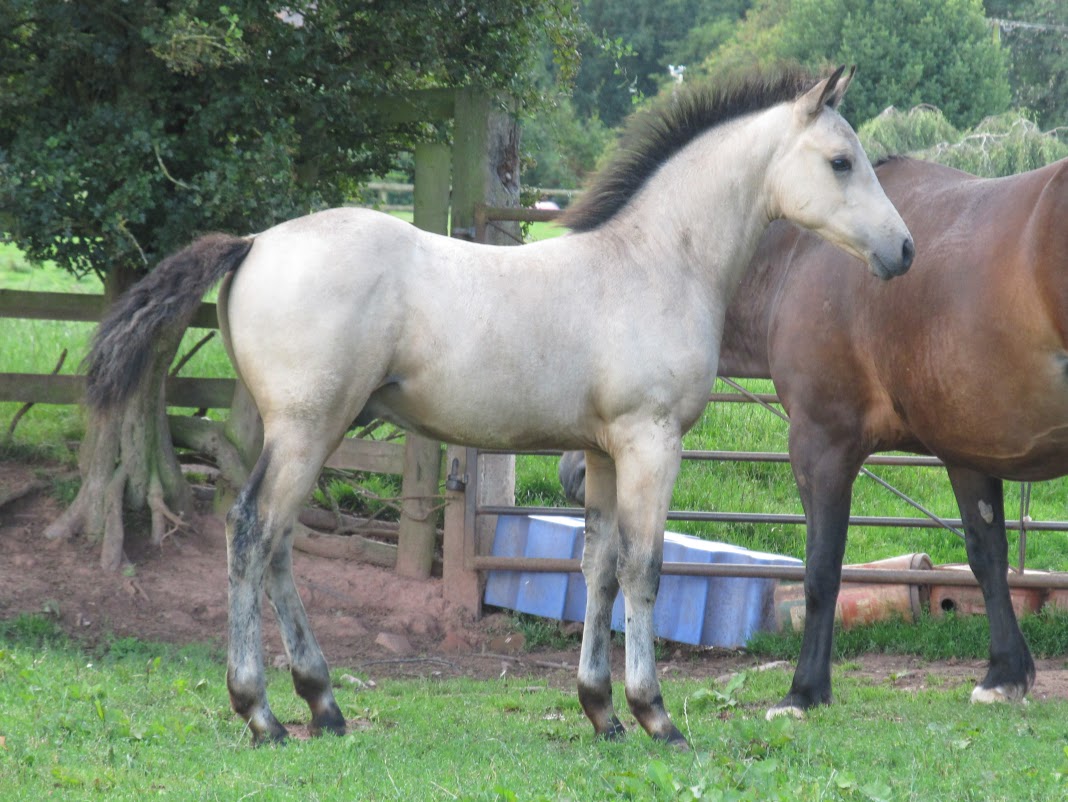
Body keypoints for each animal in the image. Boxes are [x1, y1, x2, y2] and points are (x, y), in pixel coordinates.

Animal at [83, 65, 912, 747]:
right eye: (841, 161)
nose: (902, 251)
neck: (653, 262)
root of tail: (255, 241)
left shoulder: (602, 451)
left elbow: (598, 568)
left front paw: (601, 710)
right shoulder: (650, 441)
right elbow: (644, 567)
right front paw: (656, 714)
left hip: (306, 433)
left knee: (279, 541)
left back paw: (323, 703)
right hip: (307, 429)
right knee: (252, 531)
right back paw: (260, 712)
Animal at [561, 154, 1068, 719]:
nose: (572, 473)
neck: (801, 257)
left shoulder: (820, 444)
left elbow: (822, 570)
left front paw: (804, 691)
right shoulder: (966, 451)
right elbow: (987, 556)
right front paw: (1005, 674)